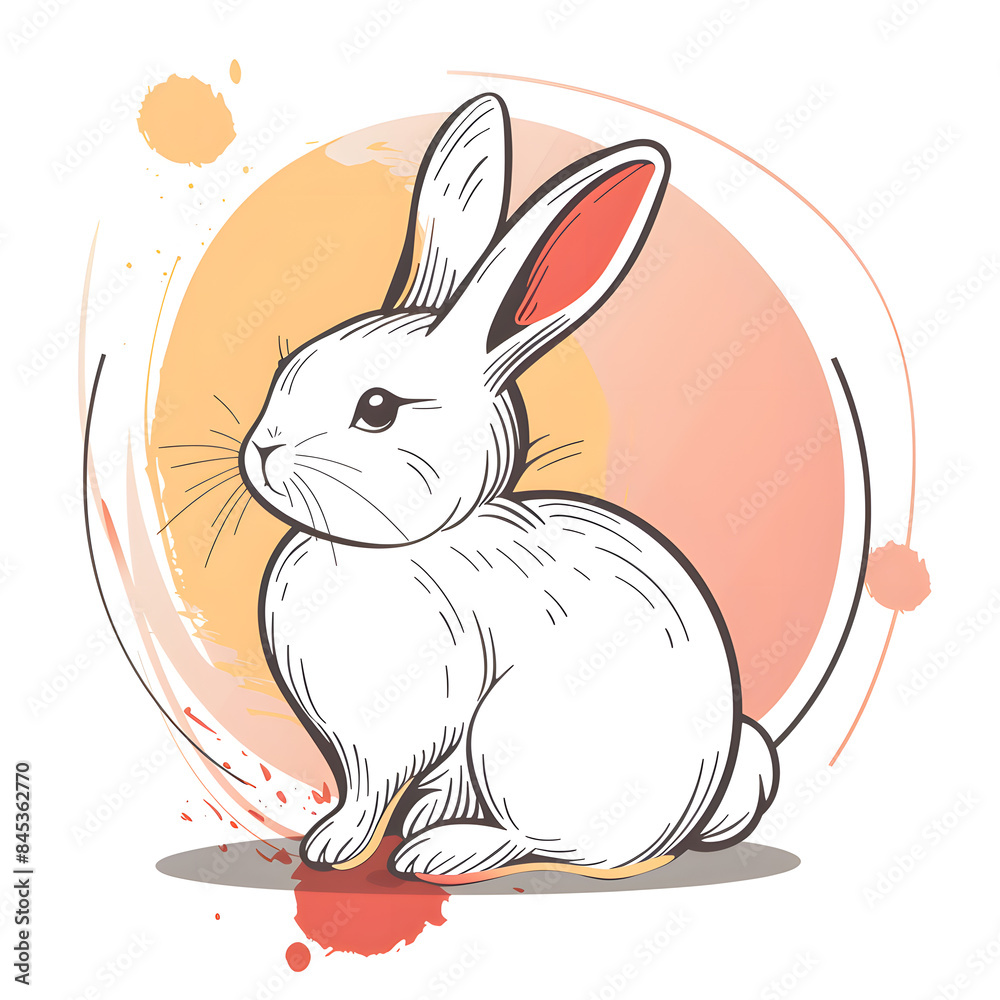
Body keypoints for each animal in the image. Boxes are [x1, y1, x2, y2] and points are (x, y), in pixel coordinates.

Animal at [238, 93, 779, 880]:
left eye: (377, 408)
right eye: (285, 371)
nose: (262, 452)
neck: (389, 552)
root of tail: (691, 808)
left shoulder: (401, 725)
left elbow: (370, 791)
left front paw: (334, 844)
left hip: (514, 744)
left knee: (548, 844)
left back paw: (445, 848)